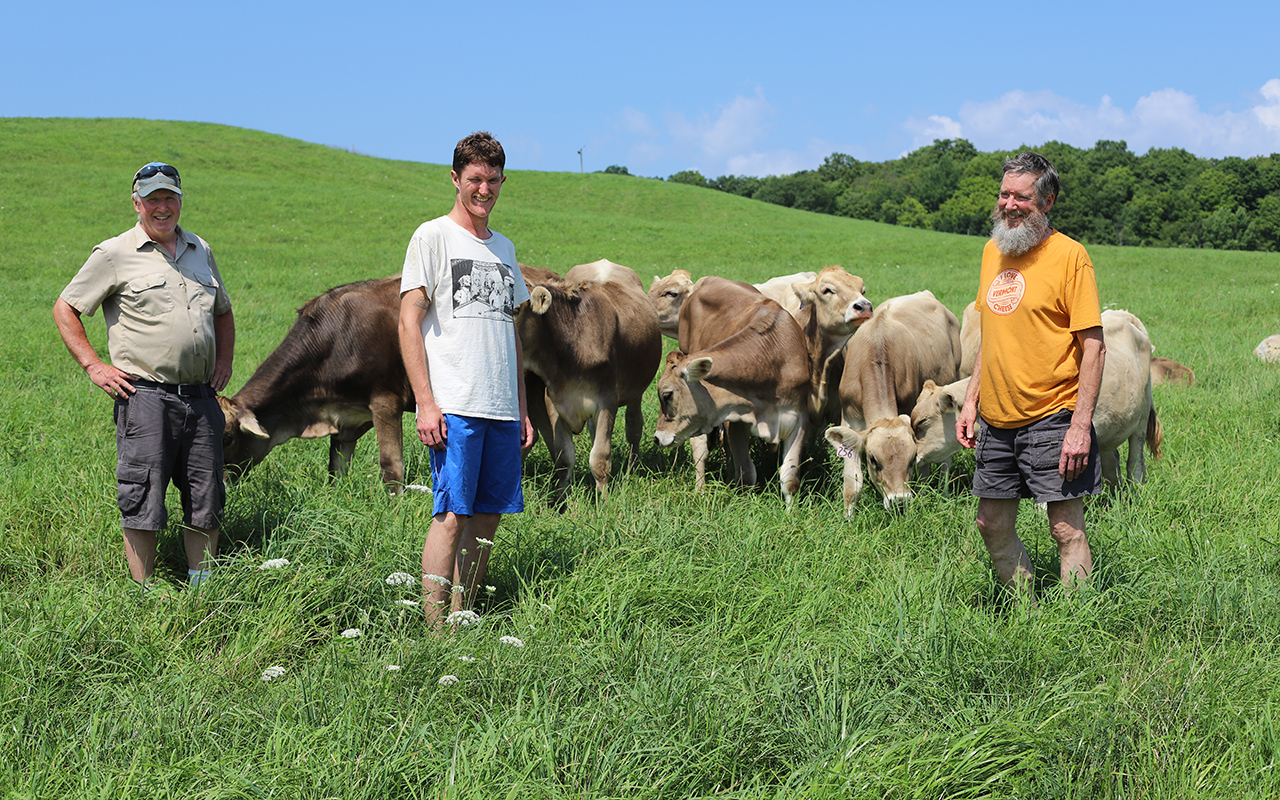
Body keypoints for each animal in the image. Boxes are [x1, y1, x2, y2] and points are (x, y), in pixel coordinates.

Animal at [217, 273, 409, 488]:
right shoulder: (344, 420)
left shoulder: (386, 401)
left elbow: (391, 466)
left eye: (227, 439)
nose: (220, 484)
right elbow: (336, 469)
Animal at [517, 258, 665, 504]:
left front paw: (604, 502)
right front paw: (561, 501)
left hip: (636, 391)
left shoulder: (607, 402)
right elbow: (564, 457)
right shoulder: (555, 402)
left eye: (516, 309)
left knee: (634, 426)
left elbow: (600, 458)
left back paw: (633, 467)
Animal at [655, 277, 803, 501]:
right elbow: (747, 474)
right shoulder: (736, 422)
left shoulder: (800, 418)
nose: (656, 438)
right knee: (700, 449)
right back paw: (700, 490)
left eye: (667, 394)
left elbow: (790, 479)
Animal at [829, 288, 962, 512]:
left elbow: (922, 468)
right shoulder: (849, 418)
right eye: (873, 460)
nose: (899, 501)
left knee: (945, 462)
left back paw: (942, 496)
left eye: (911, 458)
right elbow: (852, 485)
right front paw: (847, 518)